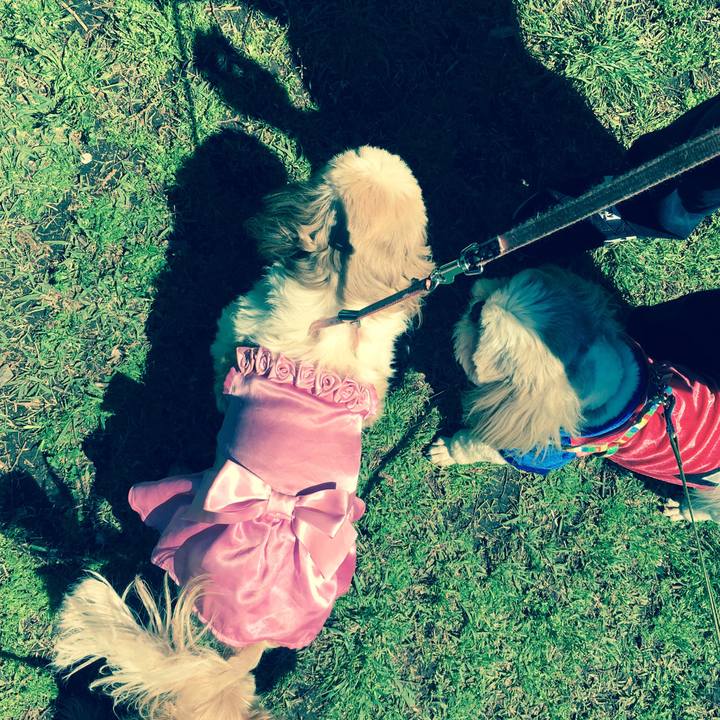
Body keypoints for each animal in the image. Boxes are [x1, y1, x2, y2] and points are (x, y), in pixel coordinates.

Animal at [428, 266, 720, 522]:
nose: (475, 306)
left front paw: (447, 451)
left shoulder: (530, 448)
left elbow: (471, 444)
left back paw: (685, 511)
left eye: (480, 329)